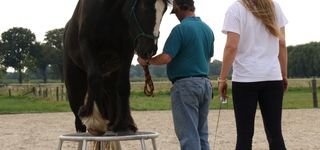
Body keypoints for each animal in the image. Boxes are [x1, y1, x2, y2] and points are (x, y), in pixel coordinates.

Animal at [63, 0, 169, 135]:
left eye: (164, 10)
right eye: (145, 8)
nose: (150, 51)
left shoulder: (127, 48)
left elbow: (123, 85)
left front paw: (123, 125)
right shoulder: (87, 45)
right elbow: (94, 79)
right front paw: (95, 121)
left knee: (112, 94)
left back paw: (113, 122)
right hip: (74, 83)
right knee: (79, 109)